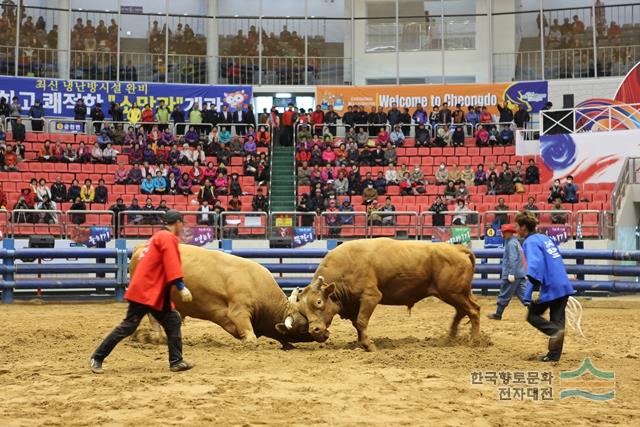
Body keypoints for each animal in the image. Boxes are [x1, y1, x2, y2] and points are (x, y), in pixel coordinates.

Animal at [290, 237, 480, 352]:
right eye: (302, 309)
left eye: (319, 302)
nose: (314, 330)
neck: (346, 266)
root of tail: (458, 249)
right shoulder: (353, 303)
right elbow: (357, 324)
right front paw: (362, 343)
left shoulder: (370, 297)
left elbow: (361, 321)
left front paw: (369, 345)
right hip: (456, 293)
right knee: (464, 311)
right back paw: (450, 339)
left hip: (453, 293)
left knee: (473, 310)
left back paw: (474, 341)